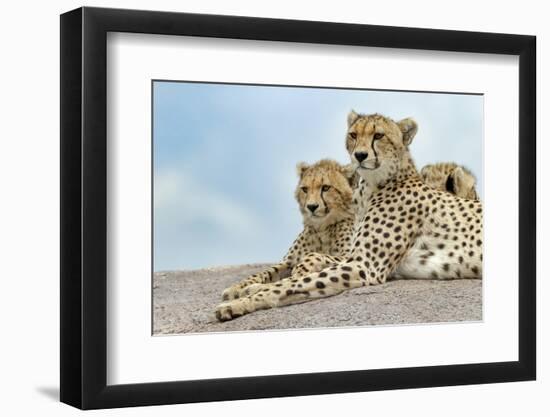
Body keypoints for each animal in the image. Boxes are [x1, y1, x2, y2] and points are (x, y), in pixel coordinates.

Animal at [216, 111, 484, 322]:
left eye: (379, 136)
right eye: (353, 135)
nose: (360, 155)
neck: (371, 187)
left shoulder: (364, 265)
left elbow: (295, 282)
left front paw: (239, 302)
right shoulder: (358, 260)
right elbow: (291, 278)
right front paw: (246, 289)